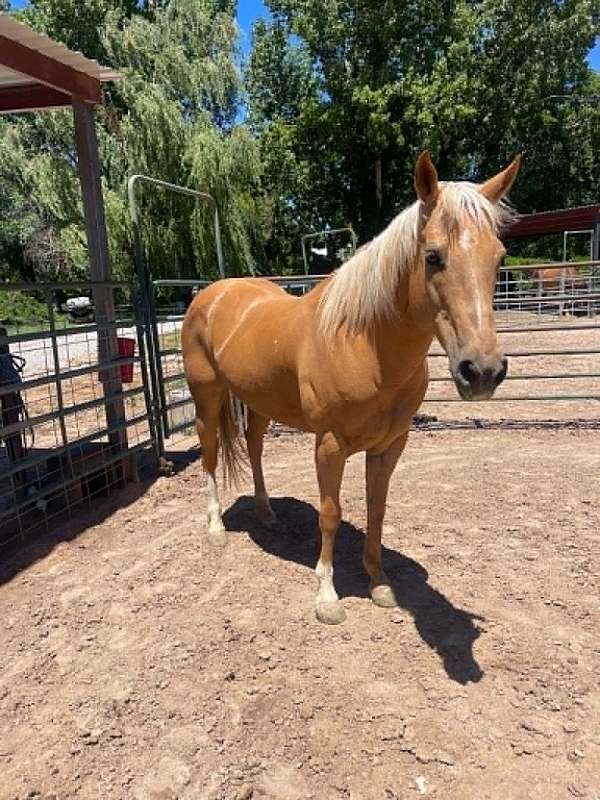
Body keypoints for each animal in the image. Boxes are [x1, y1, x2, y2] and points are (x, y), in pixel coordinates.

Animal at [181, 151, 522, 625]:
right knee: (210, 452)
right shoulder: (329, 445)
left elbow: (376, 509)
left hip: (259, 402)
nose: (483, 371)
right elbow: (330, 513)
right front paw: (327, 596)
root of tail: (211, 294)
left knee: (253, 448)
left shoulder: (390, 445)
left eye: (499, 258)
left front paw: (378, 582)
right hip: (207, 396)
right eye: (433, 256)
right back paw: (215, 527)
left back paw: (266, 512)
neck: (364, 345)